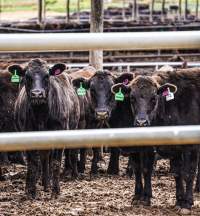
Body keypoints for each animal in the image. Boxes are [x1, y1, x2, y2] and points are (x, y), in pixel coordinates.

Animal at [9, 59, 79, 199]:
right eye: (27, 76)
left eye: (47, 76)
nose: (37, 94)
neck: (41, 114)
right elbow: (33, 163)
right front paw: (31, 191)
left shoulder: (59, 135)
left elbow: (55, 163)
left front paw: (55, 191)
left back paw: (47, 184)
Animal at [111, 68, 200, 213]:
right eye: (132, 98)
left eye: (154, 98)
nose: (141, 122)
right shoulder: (173, 148)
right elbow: (176, 173)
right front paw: (179, 200)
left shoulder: (191, 147)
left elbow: (188, 173)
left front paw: (187, 203)